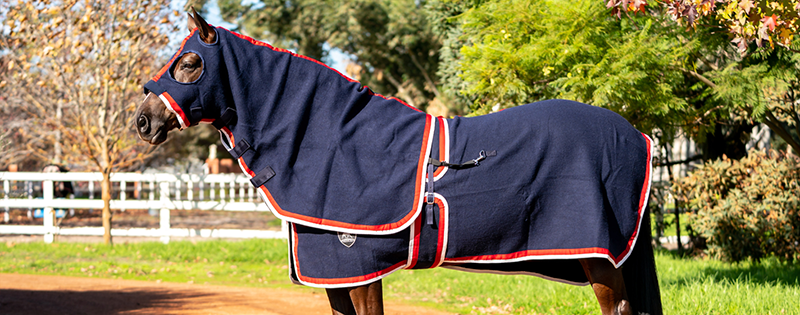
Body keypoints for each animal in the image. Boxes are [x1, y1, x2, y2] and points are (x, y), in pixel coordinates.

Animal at [133, 9, 664, 315]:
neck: (334, 138)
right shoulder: (333, 275)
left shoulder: (360, 268)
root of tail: (635, 134)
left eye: (189, 64)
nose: (142, 120)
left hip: (598, 259)